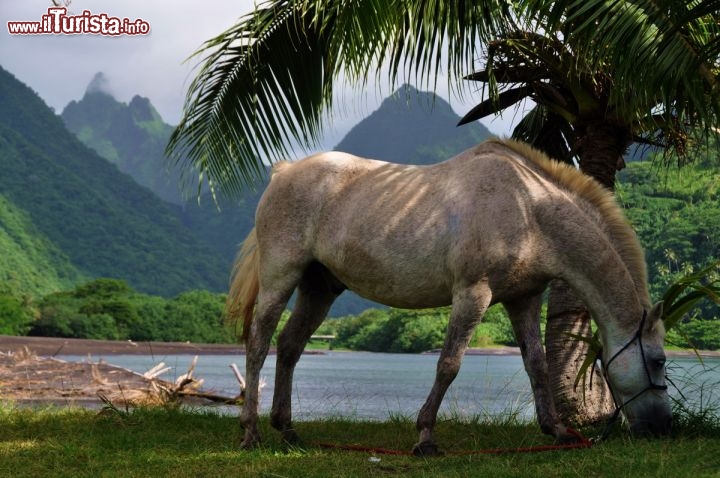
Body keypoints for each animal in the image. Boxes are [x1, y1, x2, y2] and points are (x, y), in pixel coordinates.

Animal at [228, 139, 672, 456]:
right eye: (659, 361)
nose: (662, 428)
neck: (528, 209)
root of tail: (284, 172)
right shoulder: (473, 293)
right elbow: (449, 365)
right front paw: (425, 437)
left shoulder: (524, 299)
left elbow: (537, 364)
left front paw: (558, 430)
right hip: (280, 277)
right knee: (259, 345)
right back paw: (250, 433)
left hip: (319, 288)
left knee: (290, 347)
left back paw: (287, 429)